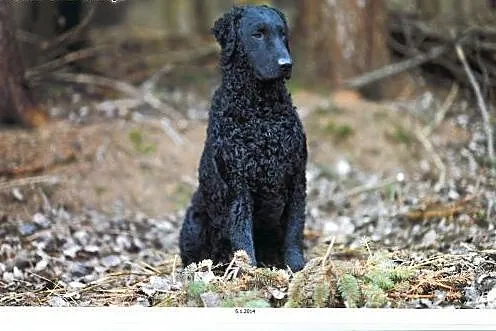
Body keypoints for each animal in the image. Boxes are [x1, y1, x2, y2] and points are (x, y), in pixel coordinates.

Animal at [178, 5, 306, 274]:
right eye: (257, 34)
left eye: (282, 34)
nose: (286, 65)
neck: (261, 112)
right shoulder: (238, 189)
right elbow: (243, 239)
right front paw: (249, 274)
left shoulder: (297, 179)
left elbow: (294, 231)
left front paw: (297, 267)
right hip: (195, 220)